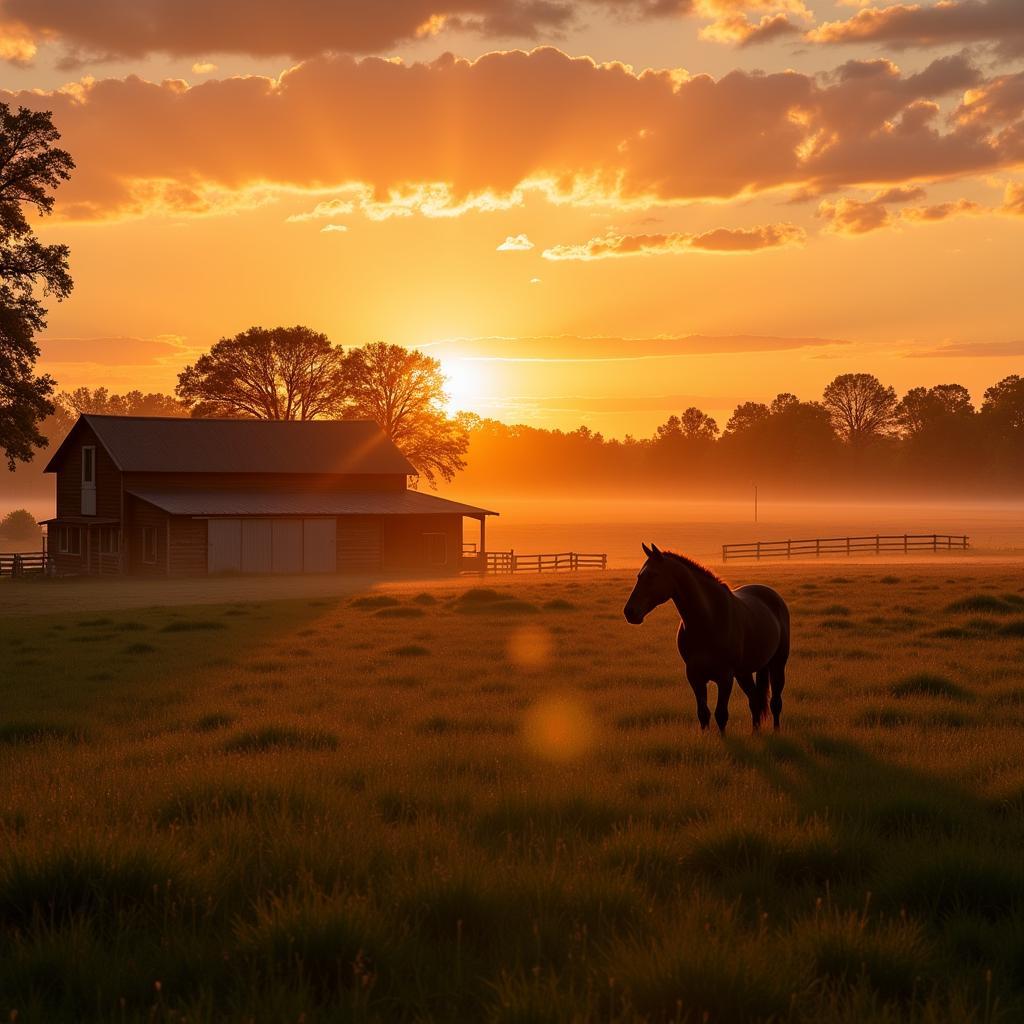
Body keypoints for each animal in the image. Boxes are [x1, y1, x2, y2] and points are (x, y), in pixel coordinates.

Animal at [622, 544, 790, 737]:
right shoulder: (695, 676)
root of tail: (771, 594)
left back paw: (776, 731)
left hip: (777, 664)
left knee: (775, 702)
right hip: (744, 672)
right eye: (639, 576)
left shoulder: (725, 677)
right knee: (754, 700)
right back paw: (755, 733)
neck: (708, 619)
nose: (630, 612)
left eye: (652, 575)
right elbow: (703, 713)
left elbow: (721, 714)